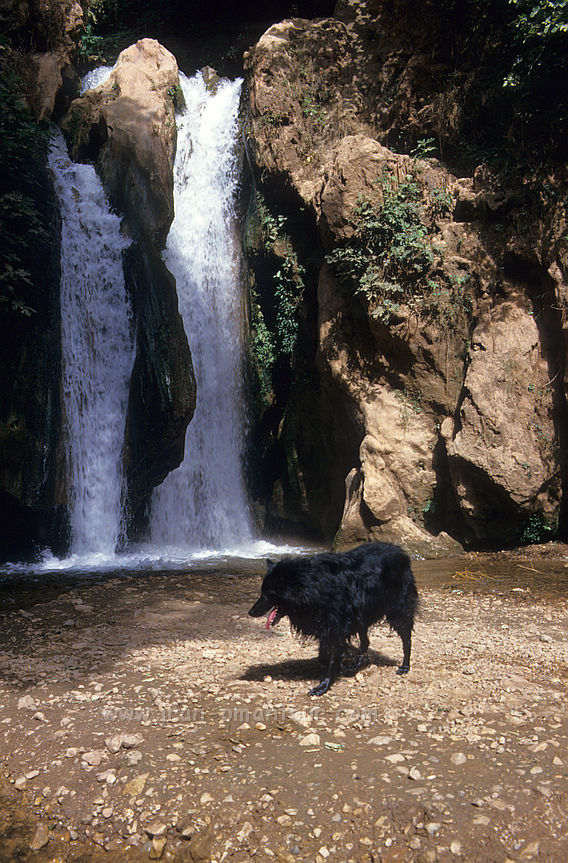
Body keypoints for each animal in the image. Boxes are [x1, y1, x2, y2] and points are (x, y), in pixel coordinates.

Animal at [248, 544, 418, 700]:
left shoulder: (336, 627)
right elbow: (324, 656)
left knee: (407, 640)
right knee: (365, 642)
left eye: (267, 594)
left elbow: (332, 657)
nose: (250, 612)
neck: (311, 586)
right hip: (360, 617)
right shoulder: (327, 627)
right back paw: (356, 663)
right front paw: (335, 666)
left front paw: (324, 684)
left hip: (398, 611)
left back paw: (405, 666)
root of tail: (401, 552)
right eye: (262, 592)